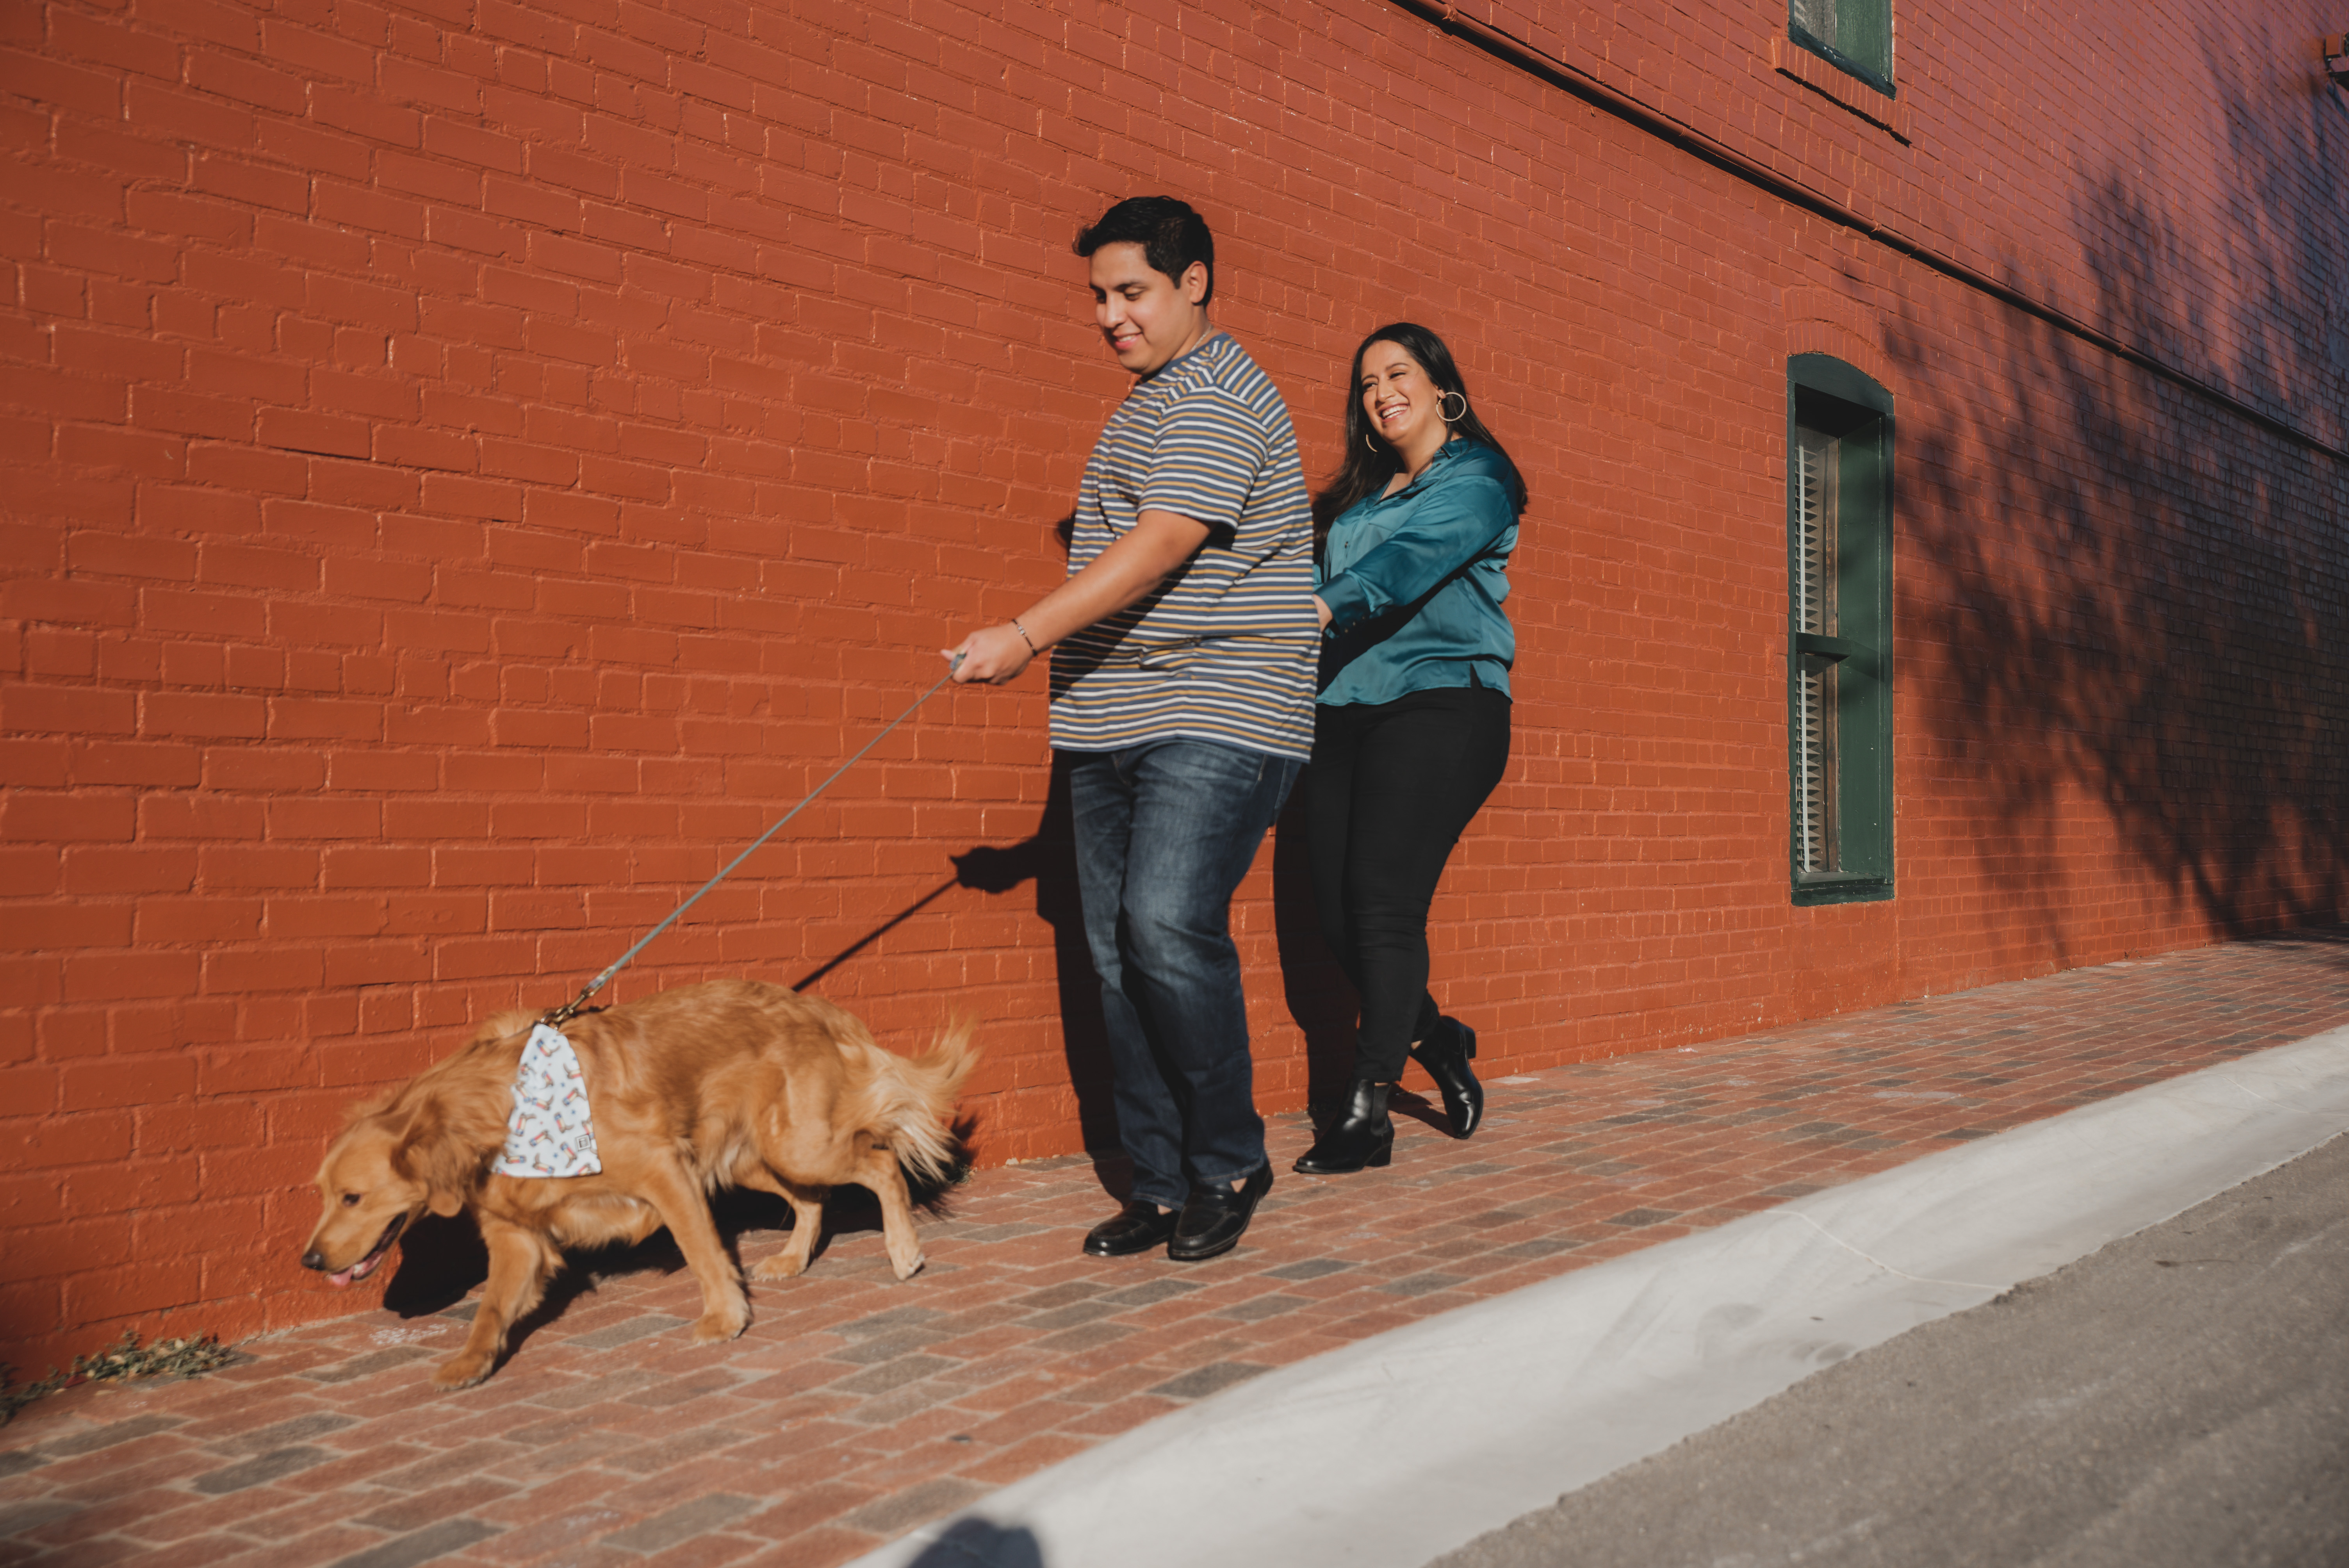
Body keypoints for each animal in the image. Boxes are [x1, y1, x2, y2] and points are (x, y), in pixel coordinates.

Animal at [300, 979, 975, 1388]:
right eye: (324, 1194)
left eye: (353, 1197)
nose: (310, 1261)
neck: (499, 1112)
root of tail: (809, 1005)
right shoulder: (517, 1237)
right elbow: (490, 1307)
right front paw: (469, 1362)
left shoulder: (664, 1170)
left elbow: (702, 1252)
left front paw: (725, 1318)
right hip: (754, 1155)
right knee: (813, 1198)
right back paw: (793, 1258)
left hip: (801, 1146)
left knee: (880, 1162)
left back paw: (903, 1250)